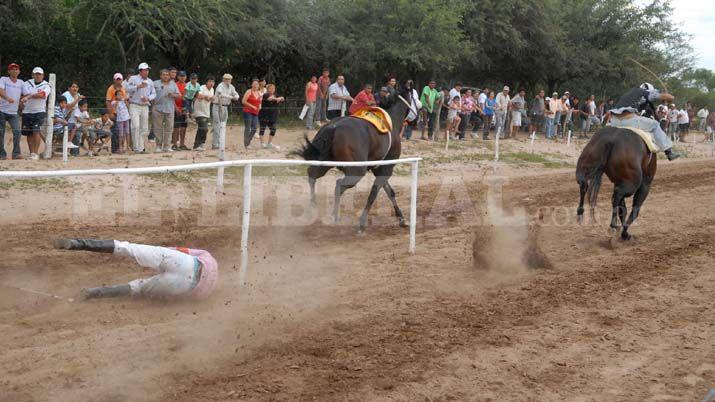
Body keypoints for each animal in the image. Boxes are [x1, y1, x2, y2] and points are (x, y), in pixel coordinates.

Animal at [292, 83, 414, 231]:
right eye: (416, 95)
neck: (391, 121)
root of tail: (333, 127)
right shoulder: (386, 168)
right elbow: (374, 194)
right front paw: (362, 222)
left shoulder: (378, 169)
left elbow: (389, 191)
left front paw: (401, 218)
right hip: (356, 171)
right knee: (338, 185)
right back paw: (334, 215)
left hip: (324, 162)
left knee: (312, 174)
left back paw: (313, 206)